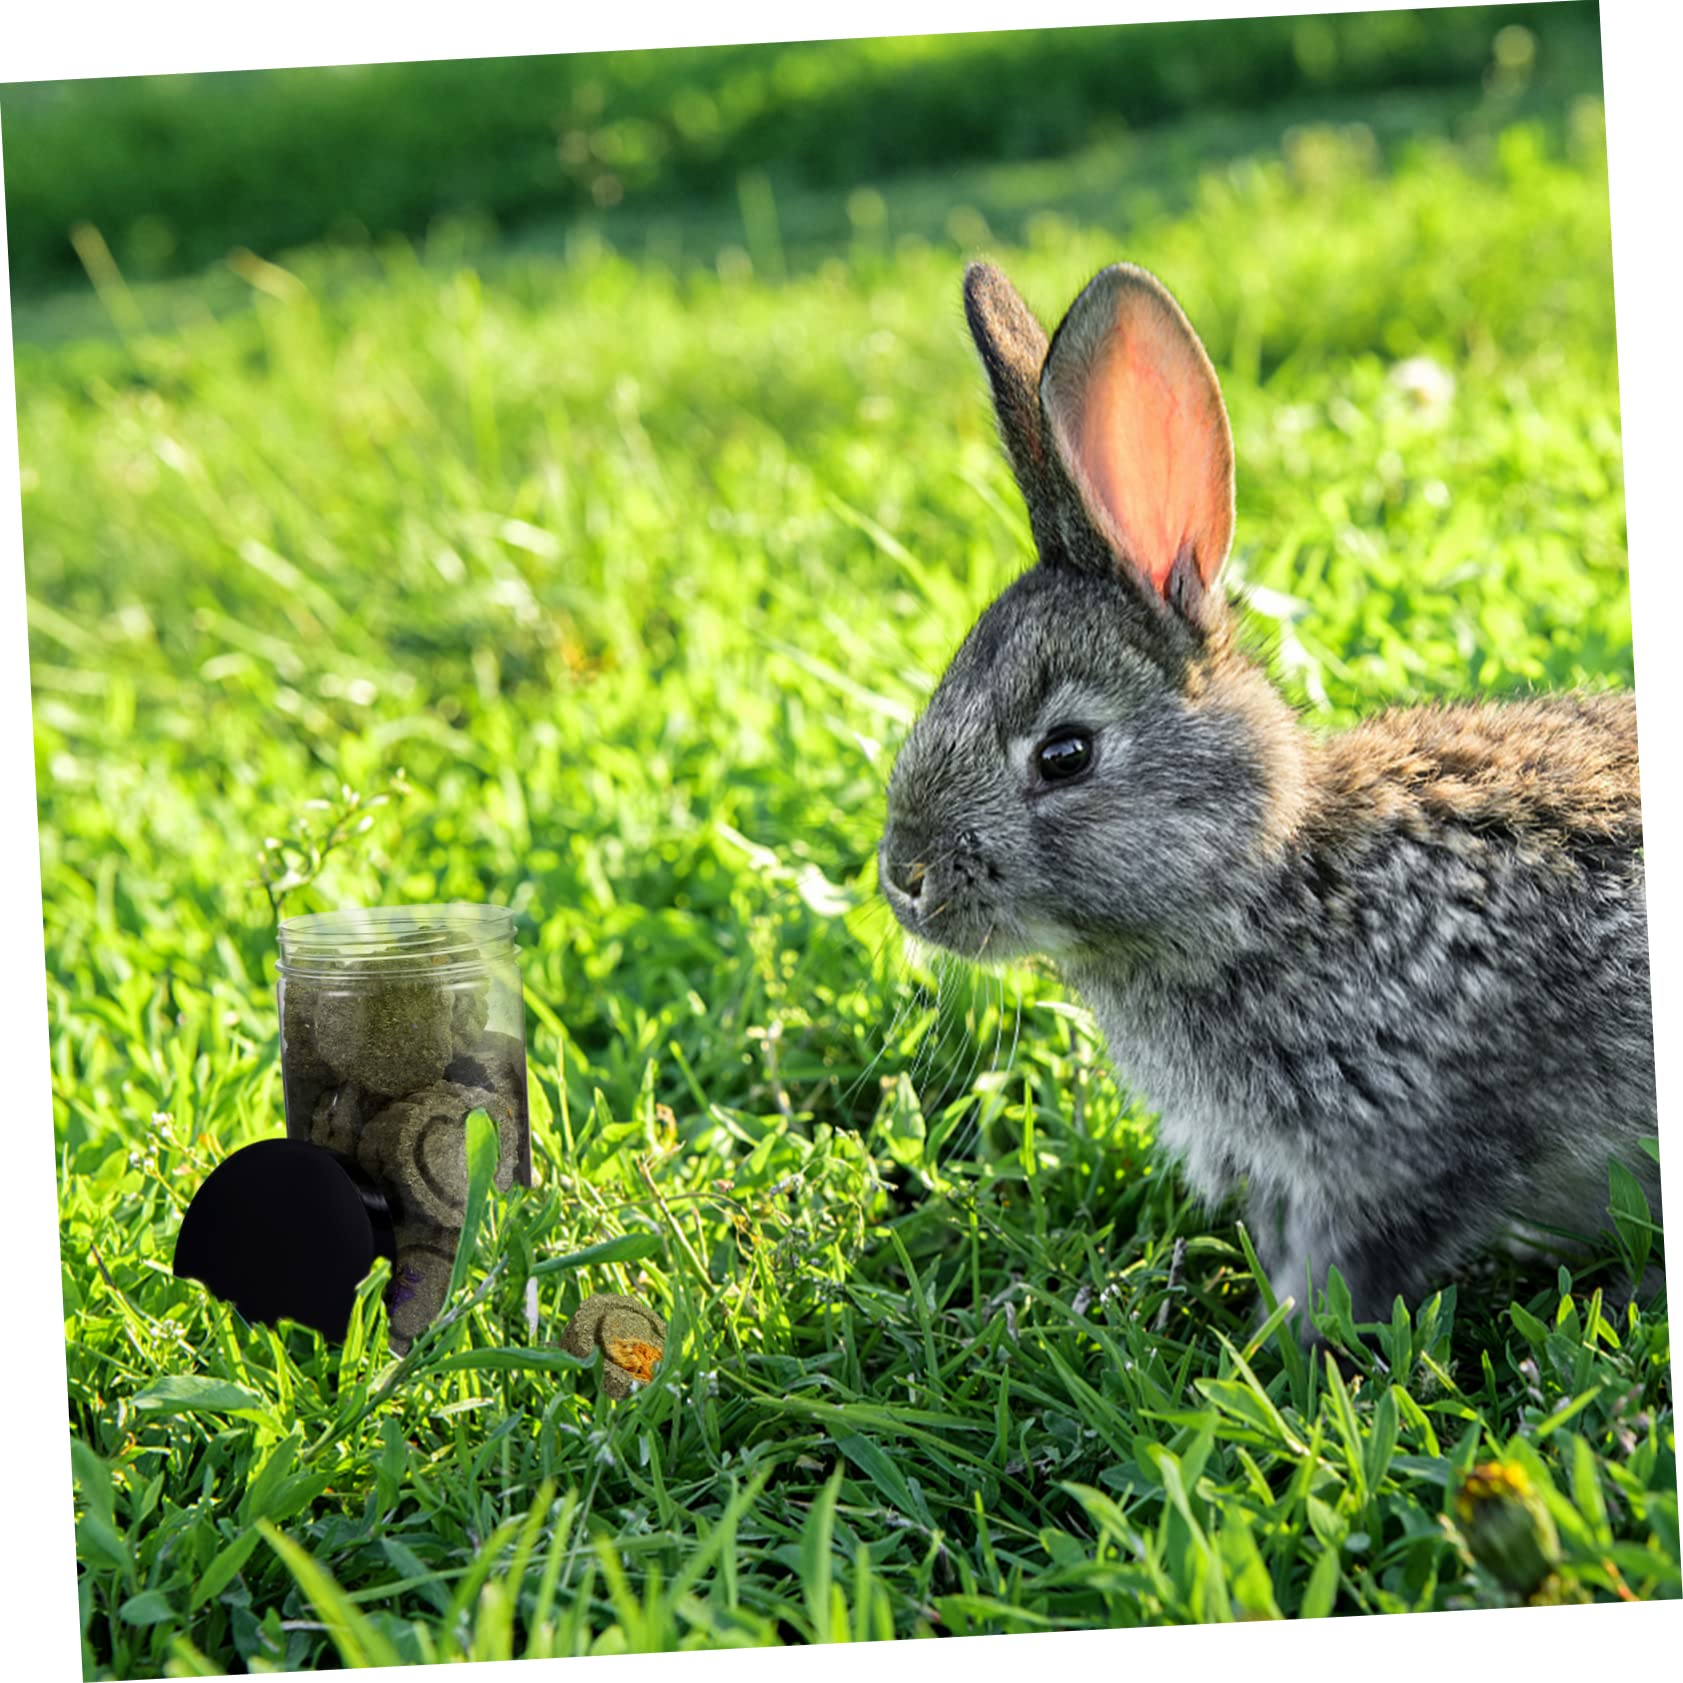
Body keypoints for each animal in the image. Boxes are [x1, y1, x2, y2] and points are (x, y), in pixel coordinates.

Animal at [879, 258, 1661, 1335]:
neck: (1271, 884)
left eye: (1065, 754)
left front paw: (1268, 1349)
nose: (902, 876)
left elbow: (1342, 1274)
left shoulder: (1399, 1157)